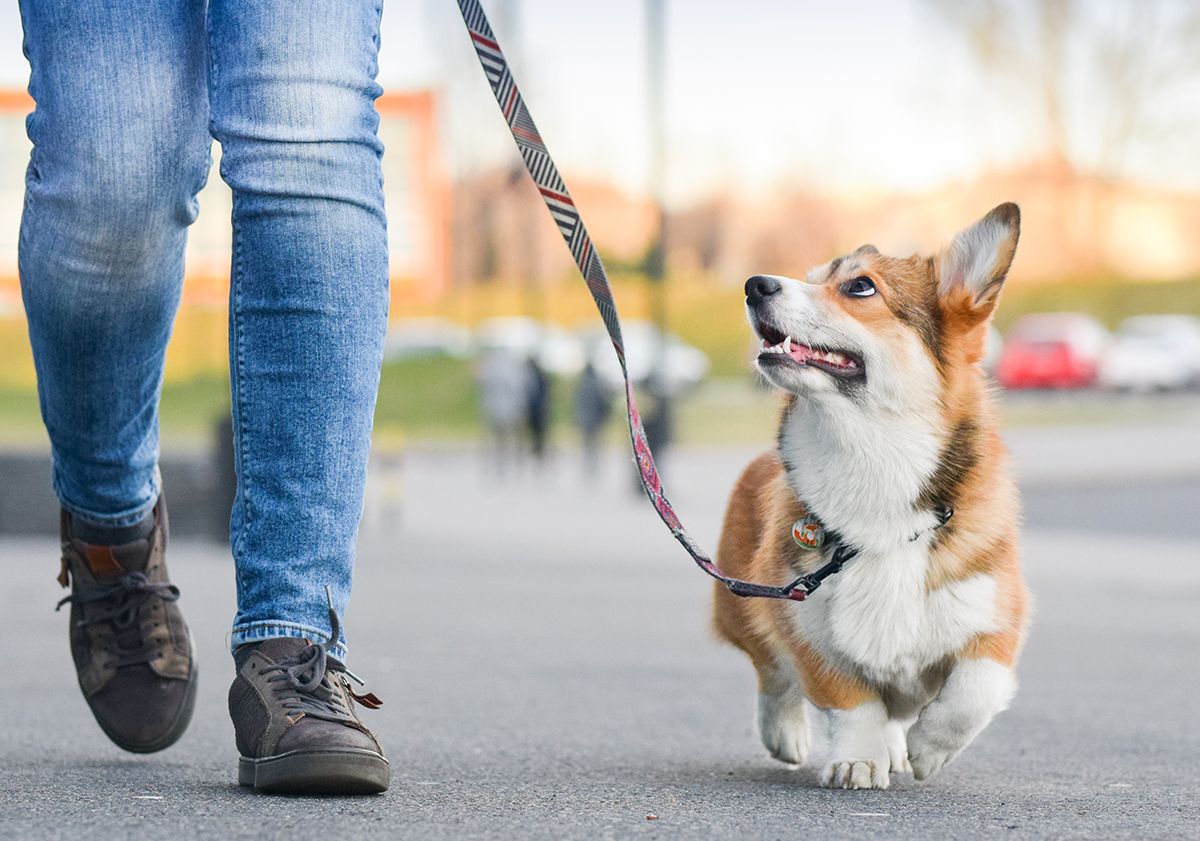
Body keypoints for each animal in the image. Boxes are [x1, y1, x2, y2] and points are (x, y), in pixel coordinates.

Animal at [710, 203, 1032, 787]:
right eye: (811, 277)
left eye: (859, 286)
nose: (754, 284)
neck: (872, 460)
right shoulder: (804, 622)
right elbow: (851, 701)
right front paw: (857, 760)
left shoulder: (997, 616)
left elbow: (975, 690)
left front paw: (928, 749)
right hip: (742, 602)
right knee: (772, 673)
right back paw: (786, 734)